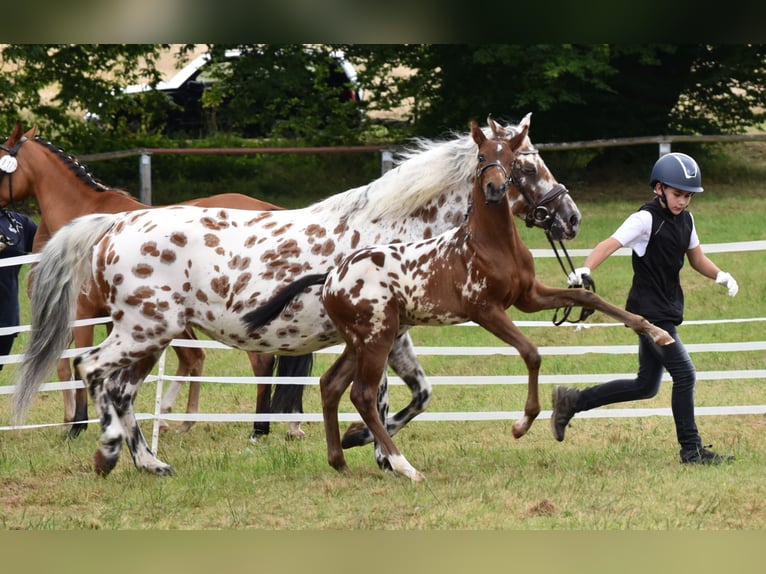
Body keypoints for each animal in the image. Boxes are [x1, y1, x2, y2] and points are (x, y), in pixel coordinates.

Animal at [243, 120, 676, 482]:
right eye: (488, 159)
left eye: (513, 162)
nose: (570, 219)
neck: (489, 243)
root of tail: (331, 276)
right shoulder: (486, 311)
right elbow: (532, 353)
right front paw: (521, 424)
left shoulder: (529, 298)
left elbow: (588, 296)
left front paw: (655, 331)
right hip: (377, 338)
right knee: (361, 395)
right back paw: (403, 466)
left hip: (360, 341)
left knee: (331, 385)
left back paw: (340, 459)